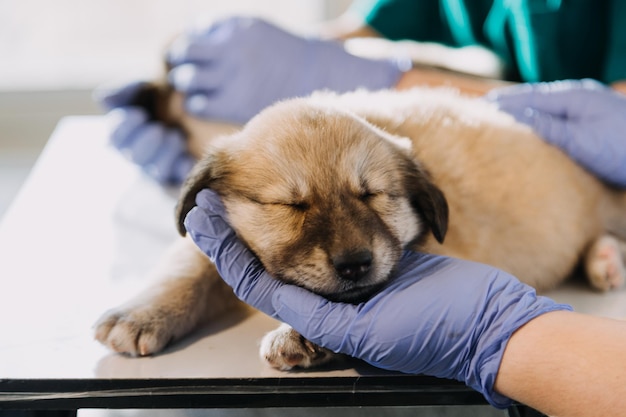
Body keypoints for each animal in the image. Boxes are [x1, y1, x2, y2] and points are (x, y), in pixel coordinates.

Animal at [95, 86, 624, 368]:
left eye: (372, 195)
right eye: (291, 204)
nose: (354, 265)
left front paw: (301, 334)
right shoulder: (214, 239)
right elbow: (189, 272)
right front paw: (142, 314)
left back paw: (606, 260)